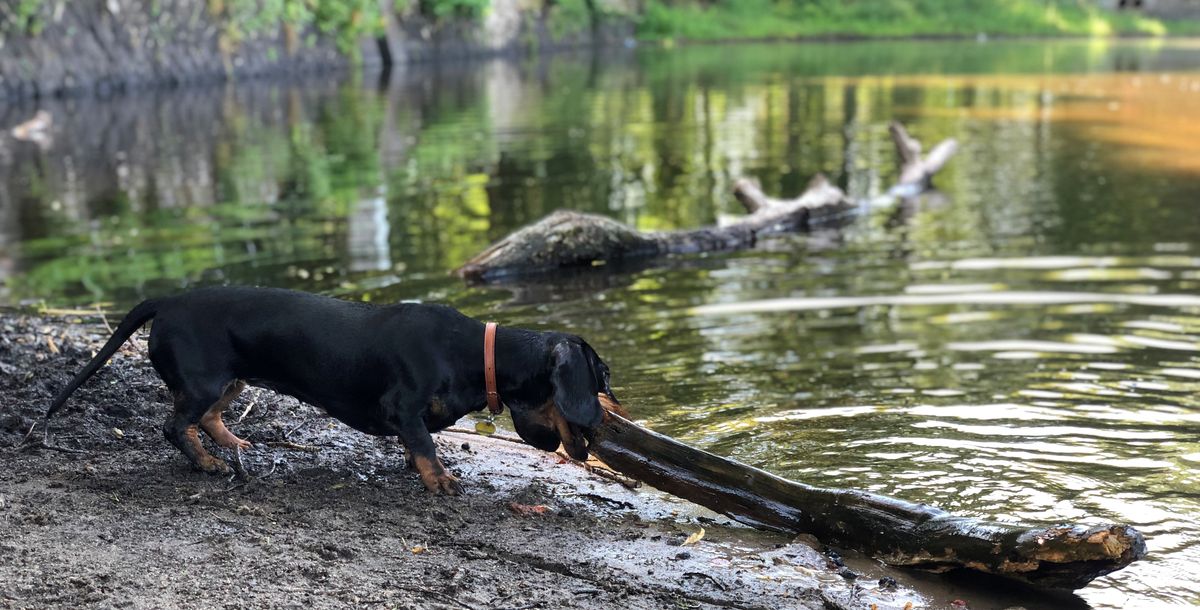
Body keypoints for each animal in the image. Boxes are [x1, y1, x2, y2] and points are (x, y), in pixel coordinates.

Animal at [37, 286, 619, 494]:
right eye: (603, 377)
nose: (603, 426)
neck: (474, 353)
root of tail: (168, 300)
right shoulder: (403, 406)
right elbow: (426, 446)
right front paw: (441, 482)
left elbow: (416, 445)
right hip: (204, 382)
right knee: (174, 424)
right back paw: (207, 463)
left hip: (233, 379)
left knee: (206, 417)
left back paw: (230, 444)